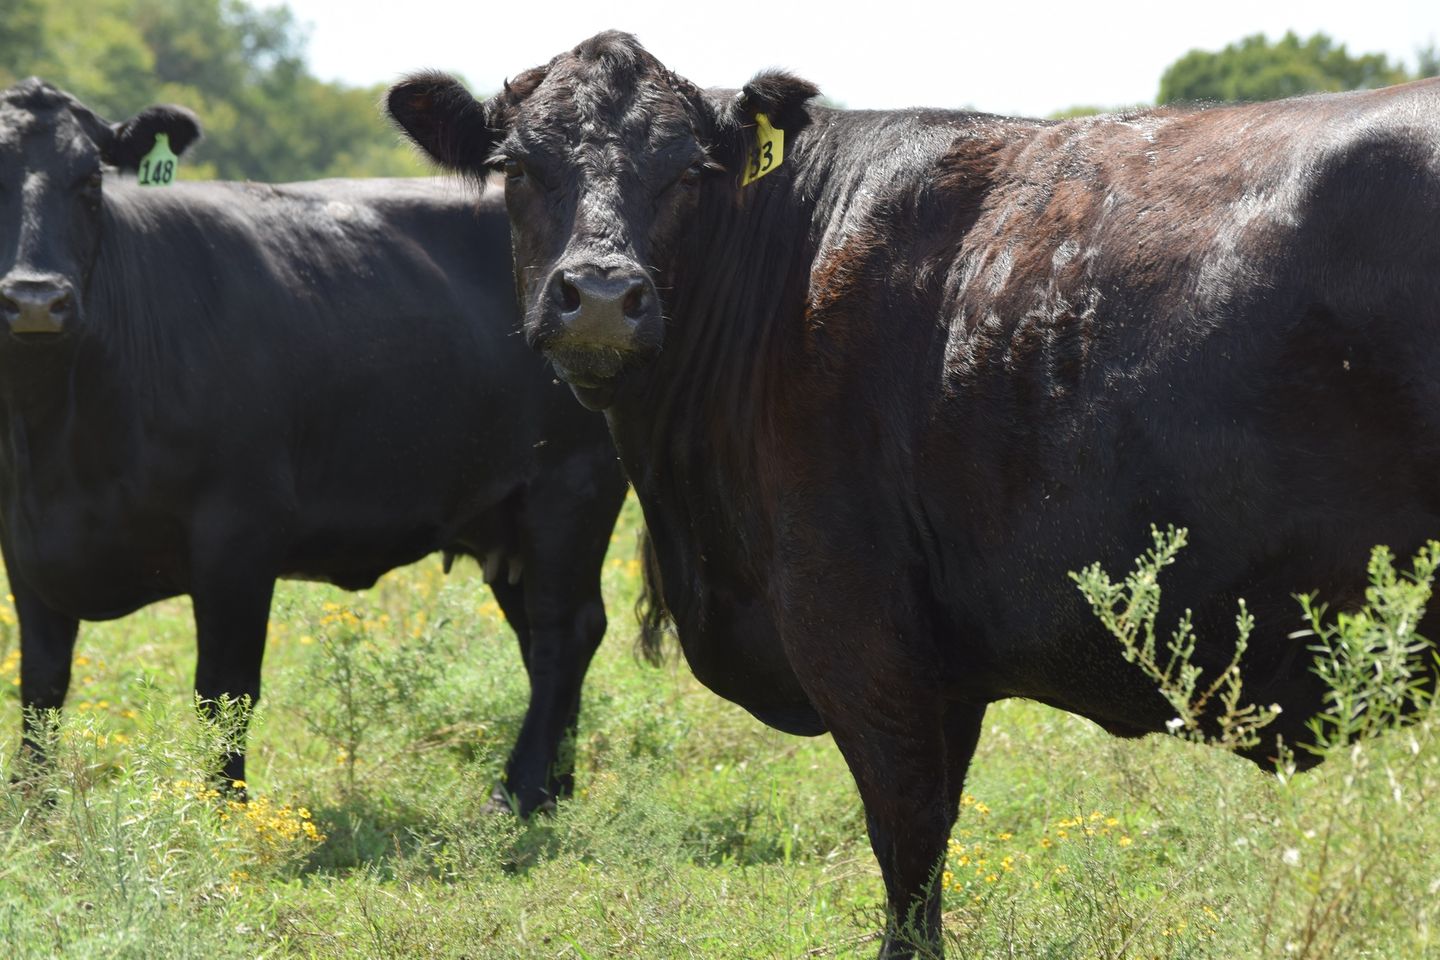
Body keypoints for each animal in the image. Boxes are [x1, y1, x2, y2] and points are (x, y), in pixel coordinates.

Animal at [0, 80, 642, 817]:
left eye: (90, 181)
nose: (36, 301)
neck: (58, 435)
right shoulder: (24, 545)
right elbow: (40, 685)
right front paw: (32, 808)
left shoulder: (240, 533)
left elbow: (224, 691)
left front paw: (224, 814)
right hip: (508, 517)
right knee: (540, 634)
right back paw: (555, 789)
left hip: (572, 487)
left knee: (566, 631)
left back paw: (518, 793)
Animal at [388, 33, 1440, 955]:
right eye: (518, 165)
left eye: (689, 170)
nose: (603, 296)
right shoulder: (944, 664)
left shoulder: (854, 628)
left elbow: (909, 846)